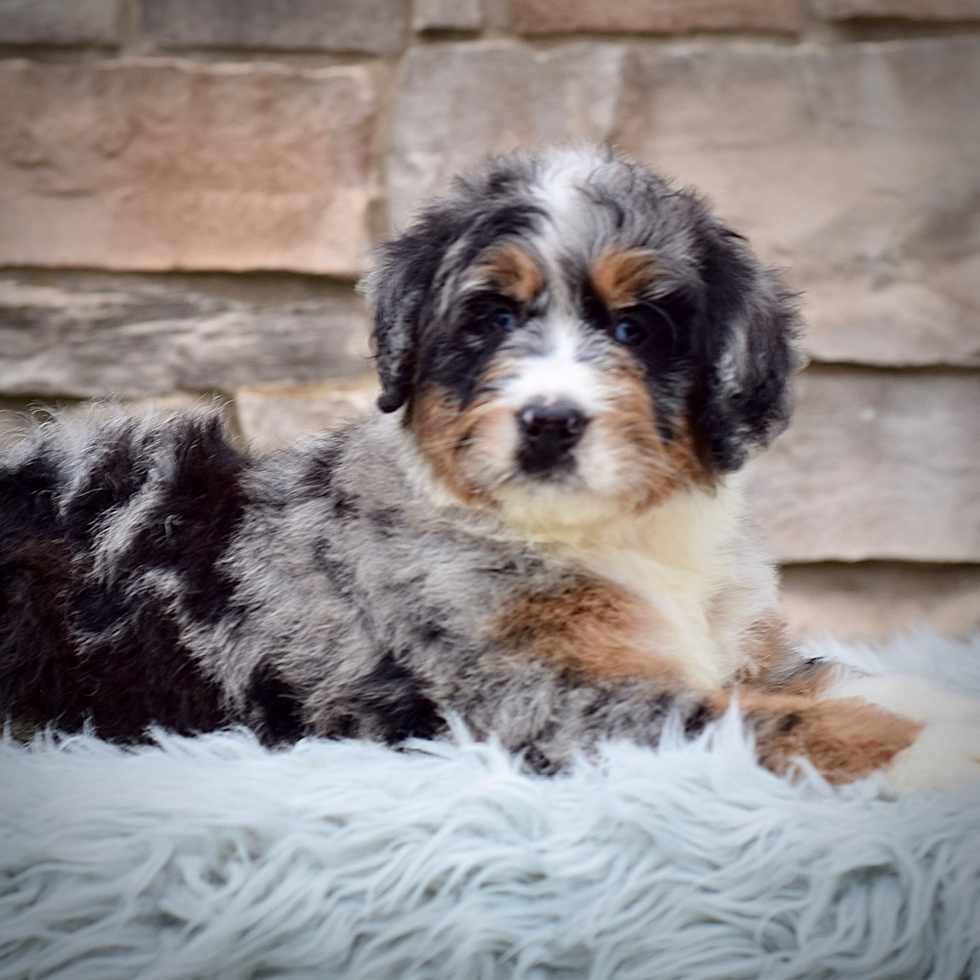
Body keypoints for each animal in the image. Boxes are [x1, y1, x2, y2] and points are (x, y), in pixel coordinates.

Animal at [1, 145, 980, 788]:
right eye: (493, 318)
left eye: (636, 328)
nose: (550, 423)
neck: (621, 535)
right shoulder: (550, 699)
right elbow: (757, 719)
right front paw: (933, 751)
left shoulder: (737, 644)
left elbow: (820, 677)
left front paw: (939, 707)